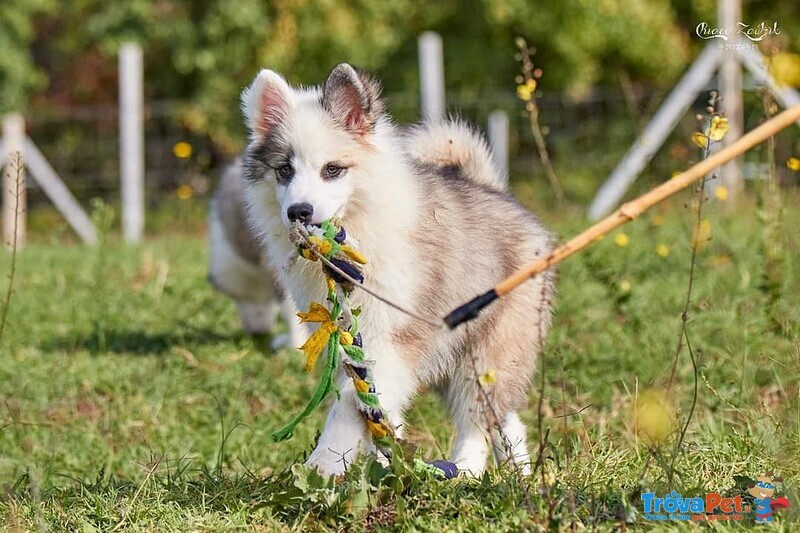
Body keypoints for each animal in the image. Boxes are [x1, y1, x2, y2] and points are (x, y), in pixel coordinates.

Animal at [238, 64, 552, 476]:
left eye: (332, 170)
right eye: (284, 170)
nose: (298, 212)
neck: (359, 230)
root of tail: (496, 191)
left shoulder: (389, 337)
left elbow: (351, 406)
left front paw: (321, 468)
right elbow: (371, 404)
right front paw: (382, 462)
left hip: (490, 347)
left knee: (477, 417)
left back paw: (466, 472)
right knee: (502, 417)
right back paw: (519, 476)